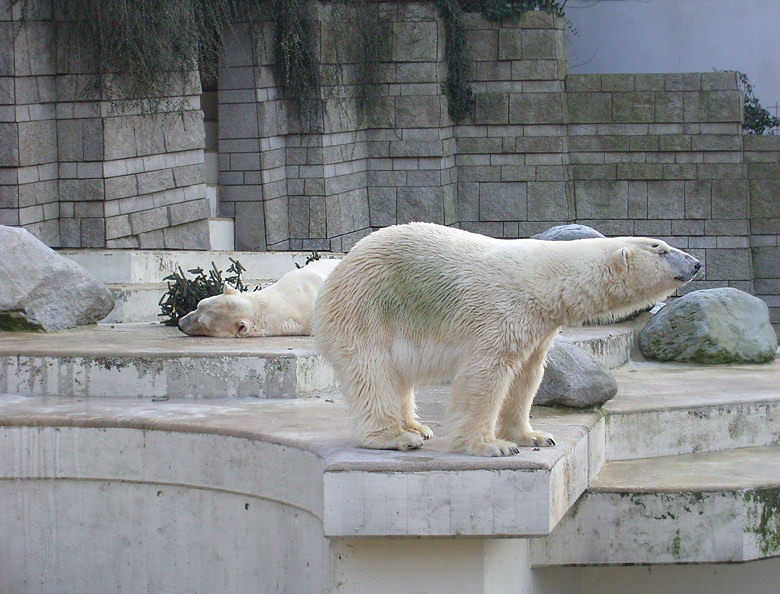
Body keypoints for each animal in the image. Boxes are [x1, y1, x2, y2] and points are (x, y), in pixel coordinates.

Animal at [314, 220, 704, 456]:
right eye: (660, 248)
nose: (697, 262)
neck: (547, 279)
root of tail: (339, 268)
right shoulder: (502, 310)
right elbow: (487, 373)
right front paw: (491, 445)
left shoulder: (538, 325)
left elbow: (527, 376)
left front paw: (533, 436)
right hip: (367, 309)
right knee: (372, 373)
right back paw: (396, 437)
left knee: (398, 376)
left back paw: (417, 426)